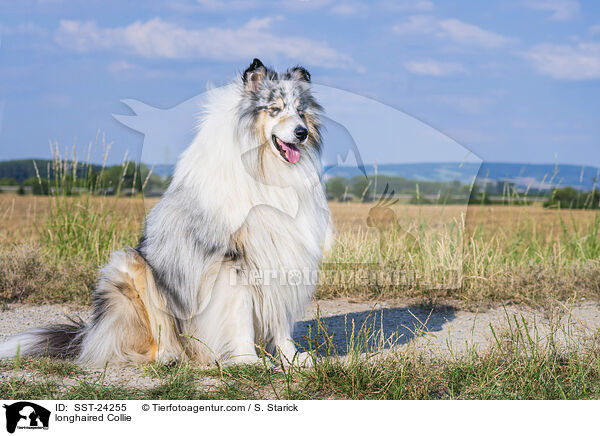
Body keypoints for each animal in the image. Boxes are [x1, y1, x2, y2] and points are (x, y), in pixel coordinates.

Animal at [0, 58, 332, 364]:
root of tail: (89, 334)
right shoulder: (231, 260)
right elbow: (240, 318)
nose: (301, 133)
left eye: (301, 110)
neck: (265, 168)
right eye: (274, 109)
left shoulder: (282, 253)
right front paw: (248, 361)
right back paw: (170, 356)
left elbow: (280, 319)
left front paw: (294, 359)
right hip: (132, 267)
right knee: (149, 340)